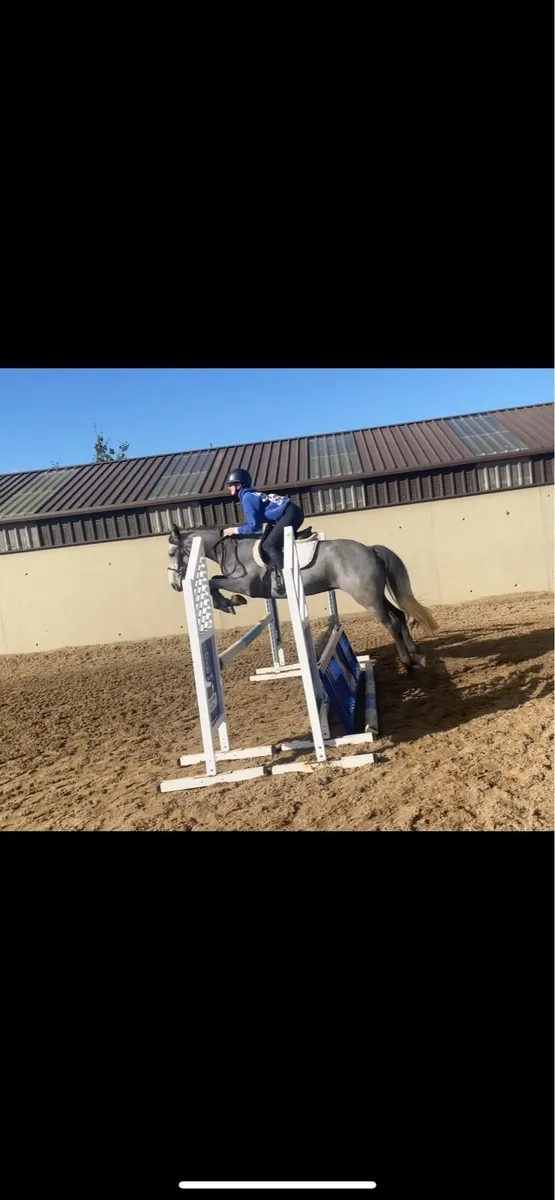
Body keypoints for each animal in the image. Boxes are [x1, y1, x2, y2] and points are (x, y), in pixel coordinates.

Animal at [167, 523, 438, 671]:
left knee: (391, 622)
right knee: (400, 615)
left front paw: (229, 603)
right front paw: (229, 603)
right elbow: (214, 580)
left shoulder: (245, 584)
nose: (174, 585)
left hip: (367, 598)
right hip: (376, 596)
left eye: (171, 552)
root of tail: (370, 549)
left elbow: (213, 582)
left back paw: (407, 661)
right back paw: (417, 654)